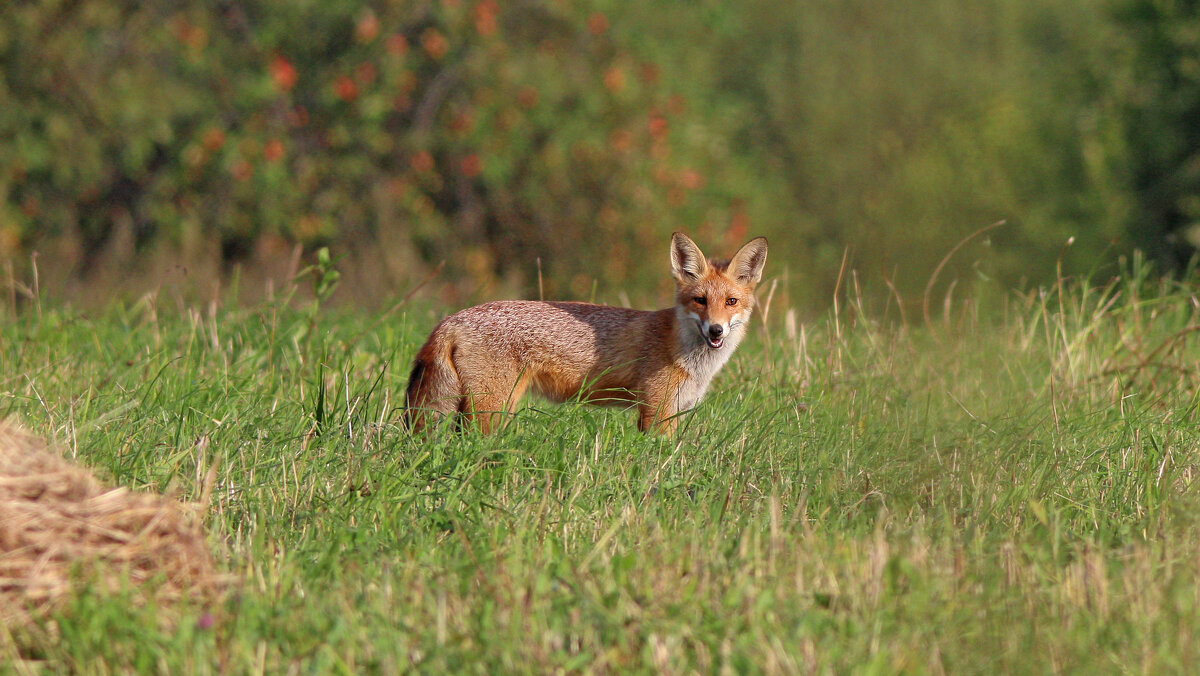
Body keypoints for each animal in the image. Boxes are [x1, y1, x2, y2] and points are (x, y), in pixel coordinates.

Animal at [405, 232, 768, 434]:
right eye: (700, 300)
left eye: (731, 302)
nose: (716, 329)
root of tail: (451, 319)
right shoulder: (655, 410)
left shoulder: (675, 410)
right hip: (492, 408)